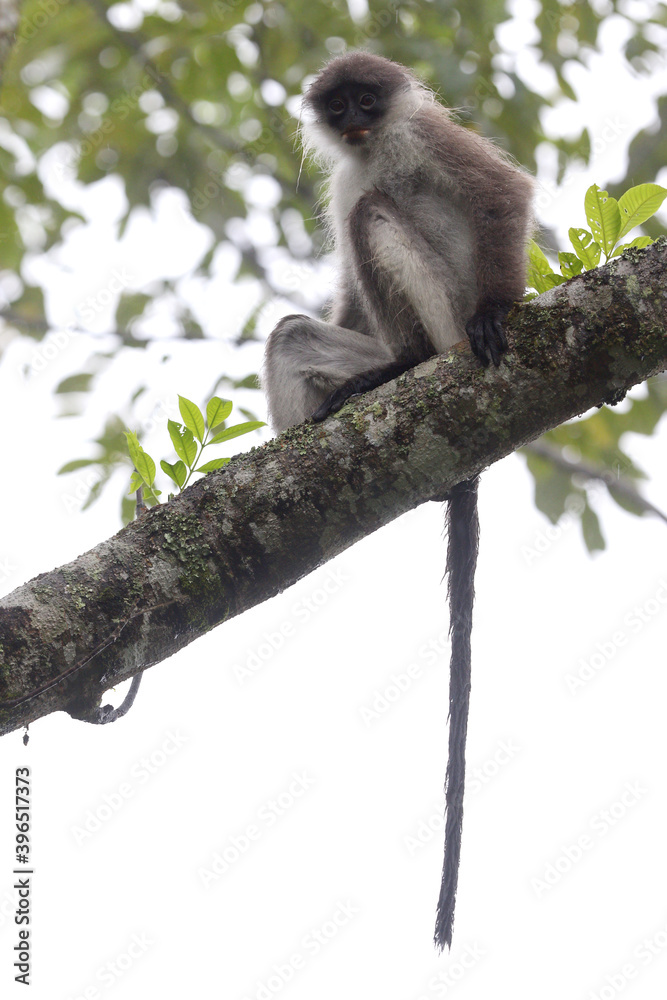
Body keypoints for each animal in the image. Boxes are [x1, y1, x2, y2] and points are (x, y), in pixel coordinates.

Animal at [260, 50, 532, 948]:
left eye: (368, 102)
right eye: (338, 106)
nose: (352, 123)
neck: (372, 149)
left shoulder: (423, 135)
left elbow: (501, 194)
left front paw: (503, 311)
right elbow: (340, 284)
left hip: (442, 313)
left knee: (375, 212)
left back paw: (409, 363)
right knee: (295, 329)